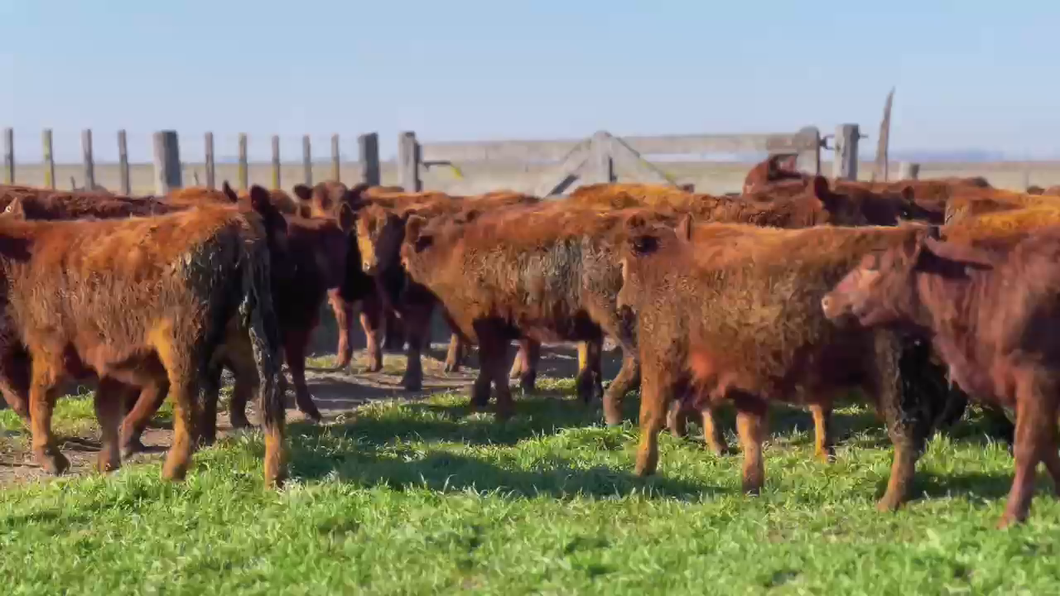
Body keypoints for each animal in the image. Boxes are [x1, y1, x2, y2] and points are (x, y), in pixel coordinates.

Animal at [0, 201, 288, 485]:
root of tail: (235, 221)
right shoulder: (109, 360)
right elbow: (105, 408)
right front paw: (107, 463)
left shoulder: (51, 349)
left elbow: (40, 399)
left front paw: (52, 459)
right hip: (250, 342)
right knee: (270, 397)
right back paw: (274, 476)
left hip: (183, 349)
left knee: (191, 409)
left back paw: (172, 473)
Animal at [619, 218, 941, 511]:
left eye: (624, 266)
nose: (620, 302)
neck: (670, 268)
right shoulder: (746, 387)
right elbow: (749, 432)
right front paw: (751, 484)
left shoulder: (661, 364)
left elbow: (650, 418)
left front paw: (641, 470)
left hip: (892, 381)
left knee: (906, 436)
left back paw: (890, 501)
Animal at [822, 223, 1060, 523]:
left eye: (872, 266)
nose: (826, 301)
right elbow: (1048, 444)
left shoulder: (1037, 378)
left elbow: (1029, 446)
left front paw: (1011, 518)